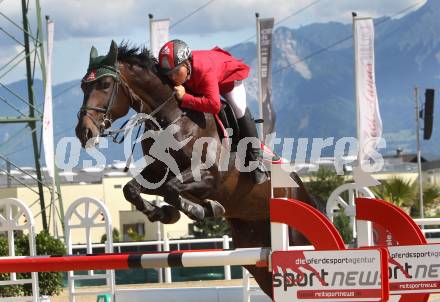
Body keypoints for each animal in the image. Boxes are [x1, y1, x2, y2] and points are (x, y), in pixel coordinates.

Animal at [76, 40, 316, 300]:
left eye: (105, 84)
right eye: (83, 86)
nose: (83, 131)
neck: (172, 117)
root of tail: (298, 184)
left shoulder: (209, 177)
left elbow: (172, 189)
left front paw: (199, 209)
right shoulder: (159, 171)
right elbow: (133, 189)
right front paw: (166, 213)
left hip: (296, 237)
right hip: (254, 248)